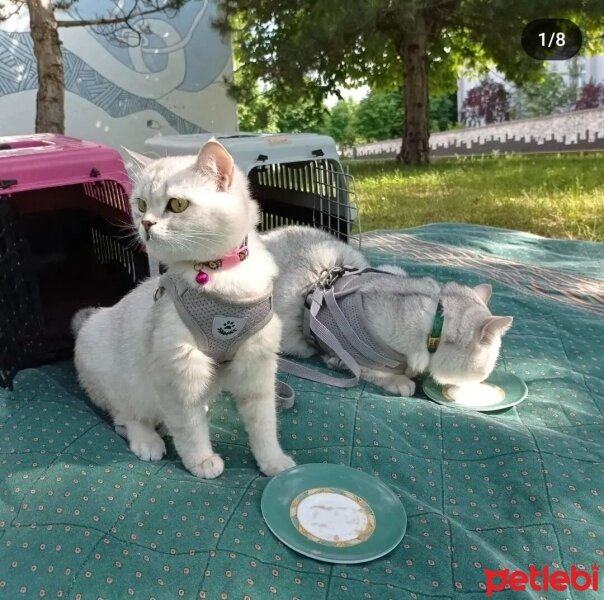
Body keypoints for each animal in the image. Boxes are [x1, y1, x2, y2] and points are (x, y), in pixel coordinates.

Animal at [73, 139, 294, 478]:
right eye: (141, 205)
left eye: (177, 205)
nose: (146, 224)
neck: (219, 276)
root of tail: (86, 323)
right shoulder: (178, 368)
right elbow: (189, 427)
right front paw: (201, 461)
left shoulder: (257, 364)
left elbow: (264, 423)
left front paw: (273, 461)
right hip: (115, 378)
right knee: (127, 416)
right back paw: (148, 441)